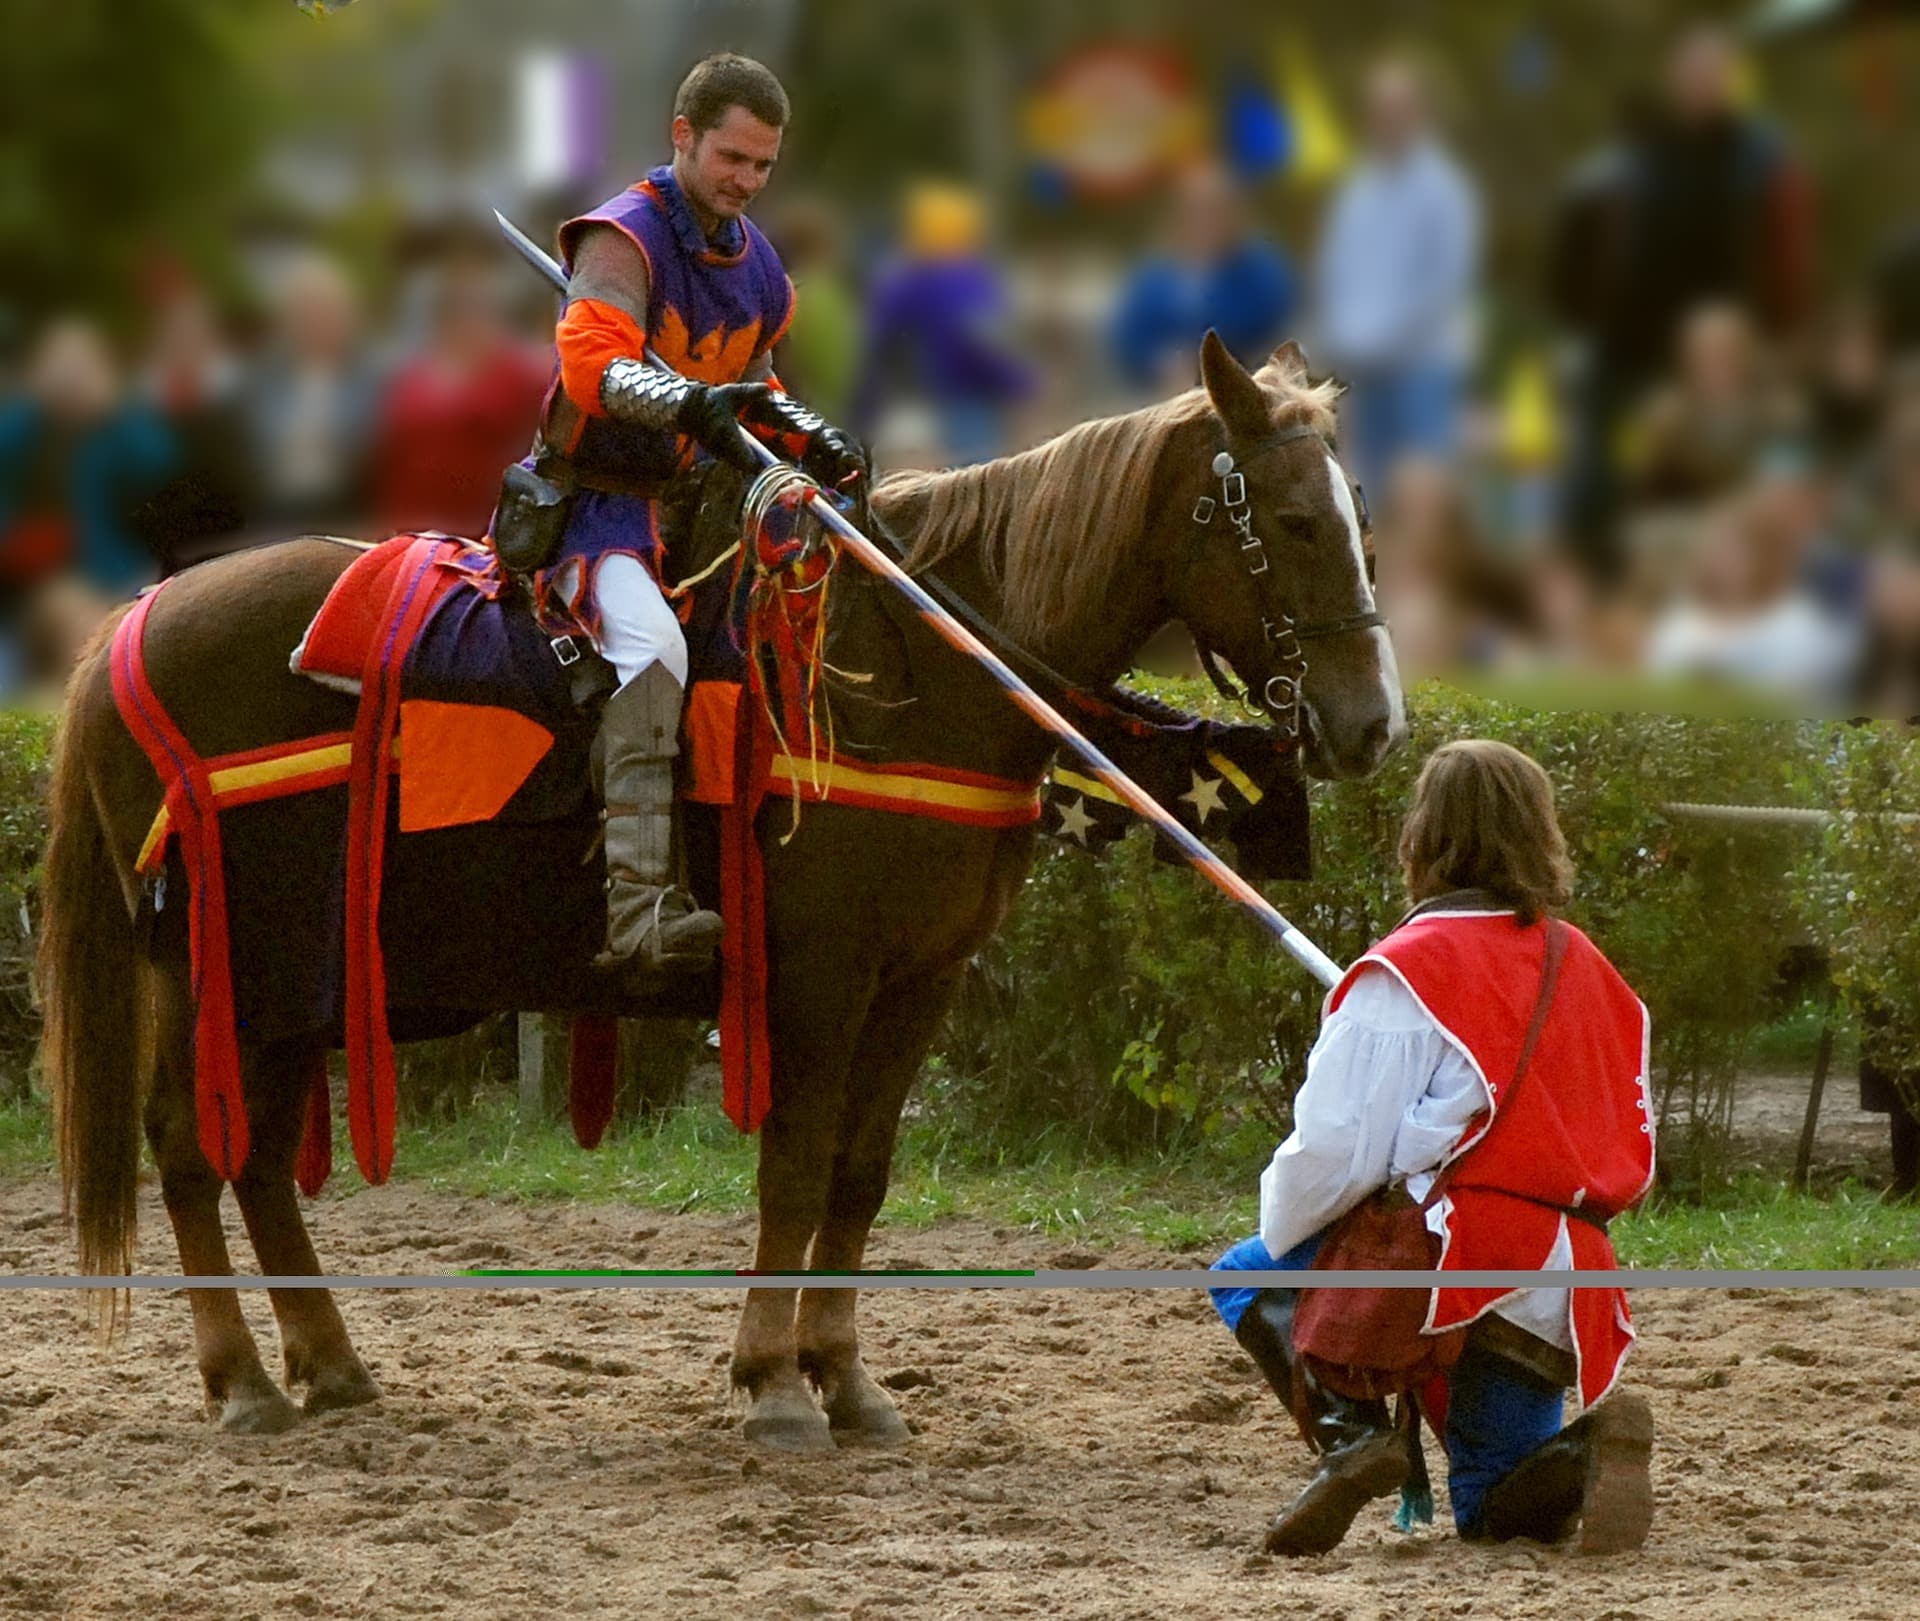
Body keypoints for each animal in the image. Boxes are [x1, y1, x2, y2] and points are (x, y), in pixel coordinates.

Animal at [37, 328, 1405, 1444]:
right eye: (1290, 522)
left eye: (1357, 513)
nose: (1371, 723)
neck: (911, 663)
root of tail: (134, 624)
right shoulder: (819, 980)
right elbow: (795, 1167)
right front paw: (776, 1383)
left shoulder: (920, 981)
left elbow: (859, 1172)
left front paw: (844, 1377)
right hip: (213, 965)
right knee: (190, 1146)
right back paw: (245, 1381)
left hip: (284, 983)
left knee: (259, 1158)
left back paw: (328, 1364)